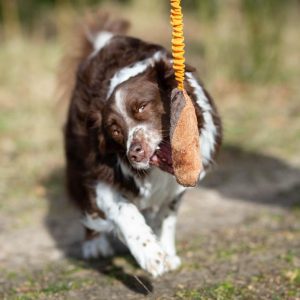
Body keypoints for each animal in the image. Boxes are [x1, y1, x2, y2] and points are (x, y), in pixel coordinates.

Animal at [63, 13, 221, 276]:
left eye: (142, 107)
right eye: (115, 130)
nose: (134, 153)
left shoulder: (176, 187)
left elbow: (166, 216)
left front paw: (166, 251)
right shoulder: (104, 173)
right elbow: (126, 212)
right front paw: (152, 256)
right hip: (77, 159)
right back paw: (94, 244)